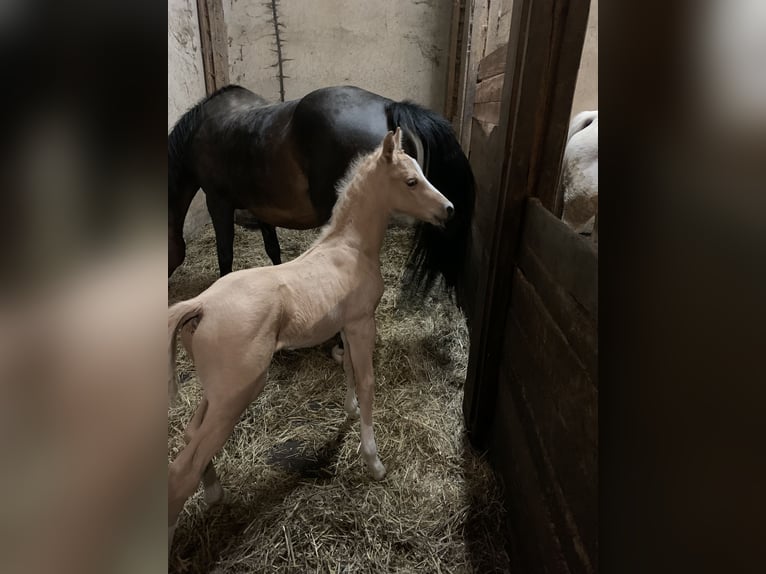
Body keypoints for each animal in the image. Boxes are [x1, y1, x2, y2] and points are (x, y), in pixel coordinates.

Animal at [168, 128, 456, 548]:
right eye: (410, 181)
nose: (448, 210)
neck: (350, 248)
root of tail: (199, 305)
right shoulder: (362, 323)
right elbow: (367, 381)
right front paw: (374, 462)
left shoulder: (349, 325)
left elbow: (349, 370)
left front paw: (349, 412)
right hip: (236, 393)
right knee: (181, 471)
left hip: (217, 390)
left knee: (190, 435)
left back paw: (215, 491)